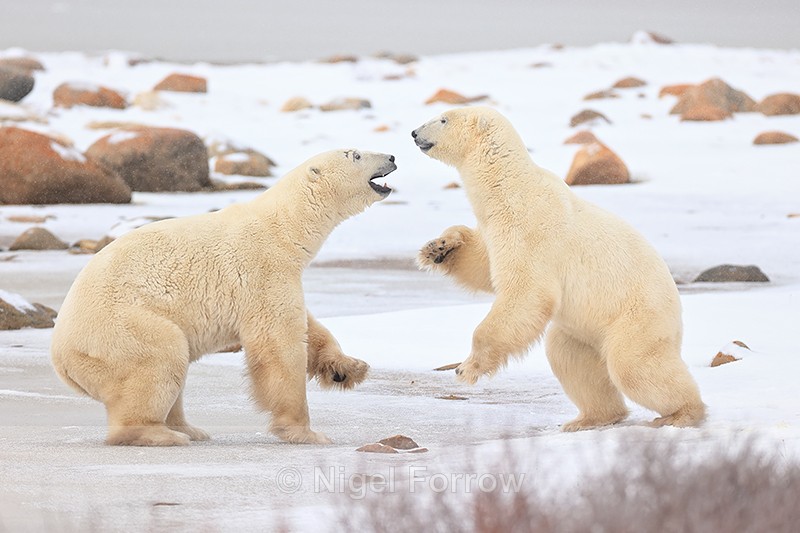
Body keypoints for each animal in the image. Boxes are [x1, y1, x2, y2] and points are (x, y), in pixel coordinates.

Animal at [51, 149, 397, 446]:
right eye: (355, 154)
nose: (392, 156)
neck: (282, 228)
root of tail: (61, 359)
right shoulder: (262, 270)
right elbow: (279, 342)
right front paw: (305, 432)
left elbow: (309, 328)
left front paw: (348, 368)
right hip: (121, 329)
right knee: (161, 357)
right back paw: (161, 433)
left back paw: (188, 428)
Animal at [412, 107, 705, 431]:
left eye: (442, 119)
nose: (414, 133)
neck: (509, 188)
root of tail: (677, 313)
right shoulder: (495, 229)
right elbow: (482, 265)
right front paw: (438, 248)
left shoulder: (530, 231)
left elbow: (526, 292)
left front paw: (467, 368)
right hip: (583, 332)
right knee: (570, 359)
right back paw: (589, 419)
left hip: (637, 317)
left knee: (633, 365)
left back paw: (682, 413)